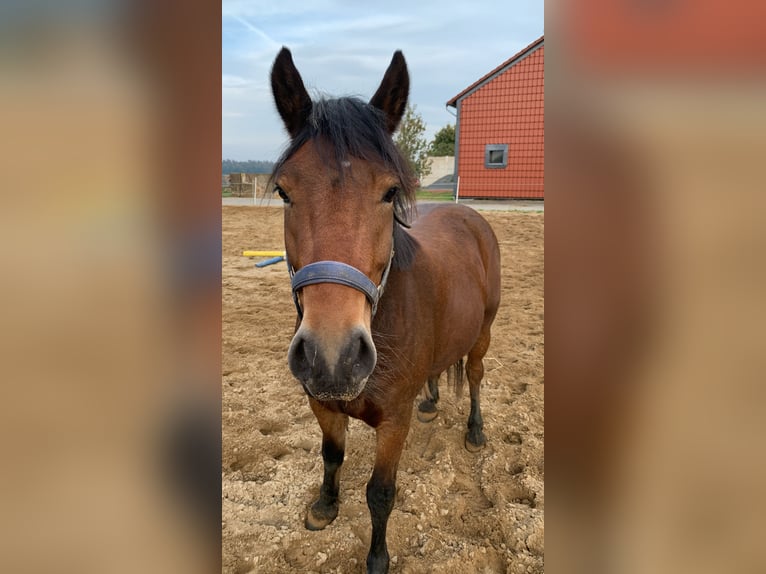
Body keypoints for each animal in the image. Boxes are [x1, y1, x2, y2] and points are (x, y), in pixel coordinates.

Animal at [272, 47, 504, 572]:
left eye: (390, 192)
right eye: (284, 192)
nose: (332, 357)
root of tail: (469, 214)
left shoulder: (393, 423)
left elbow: (380, 493)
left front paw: (377, 558)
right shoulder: (323, 403)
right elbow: (331, 456)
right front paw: (324, 506)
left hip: (483, 333)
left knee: (475, 375)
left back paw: (474, 431)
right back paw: (431, 401)